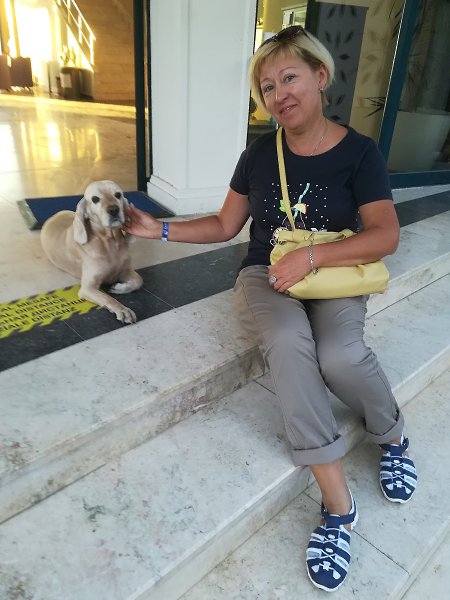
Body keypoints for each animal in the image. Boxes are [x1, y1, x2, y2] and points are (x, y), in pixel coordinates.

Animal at [40, 180, 143, 323]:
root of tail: (52, 217)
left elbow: (139, 281)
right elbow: (107, 298)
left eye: (118, 194)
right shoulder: (87, 288)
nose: (113, 210)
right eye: (95, 199)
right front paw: (123, 310)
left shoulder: (125, 270)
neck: (109, 241)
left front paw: (119, 288)